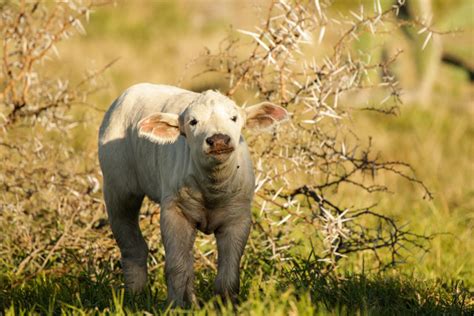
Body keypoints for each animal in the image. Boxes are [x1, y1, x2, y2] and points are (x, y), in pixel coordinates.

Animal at [98, 83, 286, 306]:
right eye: (193, 122)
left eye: (234, 118)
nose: (219, 140)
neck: (212, 188)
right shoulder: (175, 212)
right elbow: (178, 266)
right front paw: (178, 306)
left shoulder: (238, 216)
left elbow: (228, 273)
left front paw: (226, 305)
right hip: (117, 186)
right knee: (132, 245)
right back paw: (135, 297)